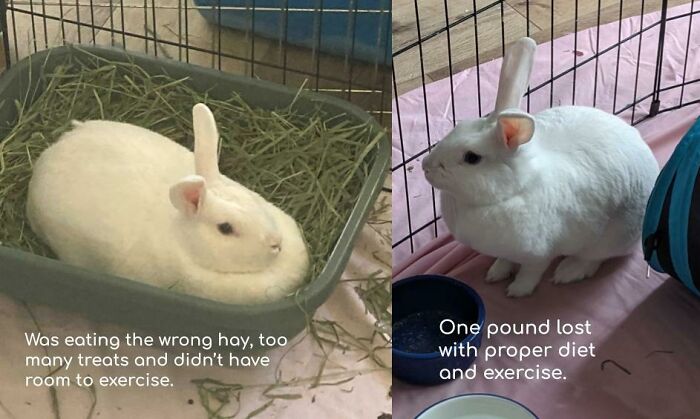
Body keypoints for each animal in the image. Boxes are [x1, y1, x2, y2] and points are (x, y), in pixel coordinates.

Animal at [421, 37, 660, 297]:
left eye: (472, 157)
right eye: (457, 127)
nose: (425, 166)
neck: (512, 192)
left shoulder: (538, 255)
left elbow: (531, 271)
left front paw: (516, 290)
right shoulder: (506, 250)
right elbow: (505, 260)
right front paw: (495, 273)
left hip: (612, 237)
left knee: (594, 259)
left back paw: (568, 272)